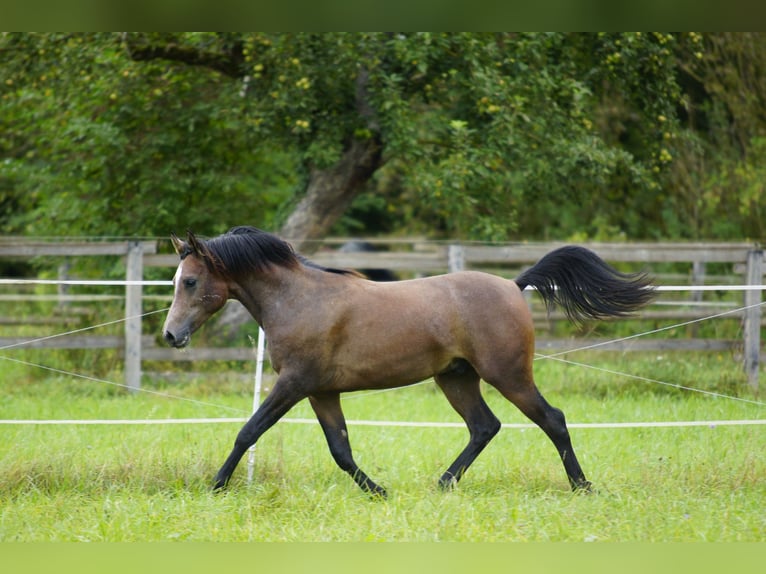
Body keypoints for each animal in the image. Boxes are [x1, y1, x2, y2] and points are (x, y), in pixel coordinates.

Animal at [162, 227, 656, 498]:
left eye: (190, 282)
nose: (171, 335)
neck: (300, 300)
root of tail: (514, 285)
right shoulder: (322, 391)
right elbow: (340, 450)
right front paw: (379, 492)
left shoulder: (293, 383)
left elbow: (248, 431)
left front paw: (216, 486)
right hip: (457, 379)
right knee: (484, 426)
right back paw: (443, 484)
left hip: (509, 375)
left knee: (553, 420)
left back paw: (582, 487)